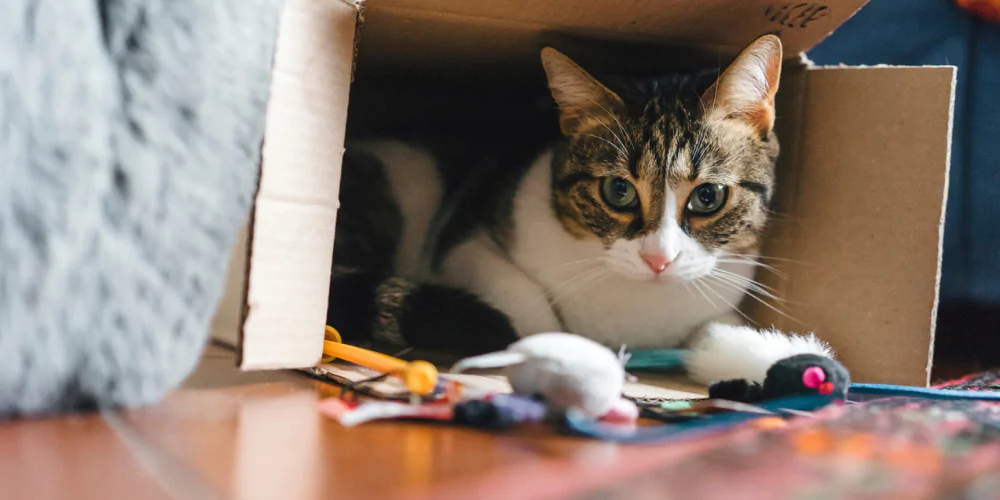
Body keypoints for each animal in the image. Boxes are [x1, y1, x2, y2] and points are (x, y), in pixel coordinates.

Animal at [328, 35, 828, 384]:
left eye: (708, 197)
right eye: (618, 191)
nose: (659, 260)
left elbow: (717, 330)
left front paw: (778, 354)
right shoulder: (463, 242)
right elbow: (525, 300)